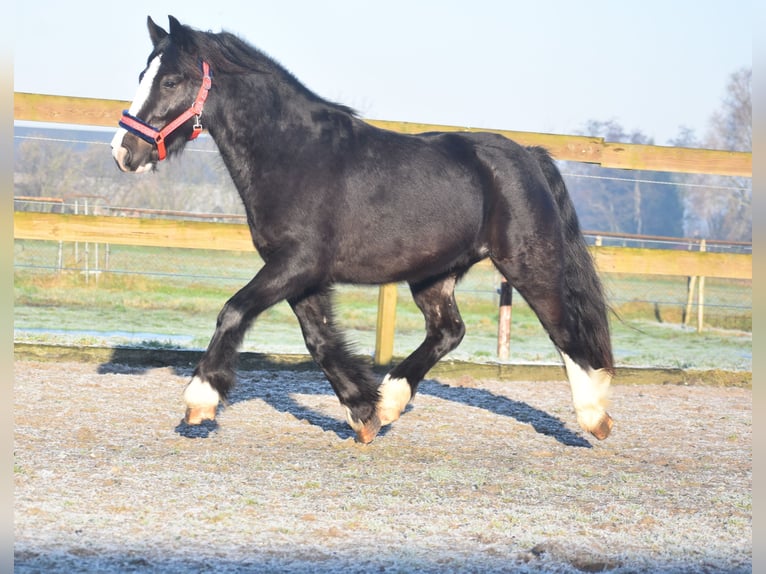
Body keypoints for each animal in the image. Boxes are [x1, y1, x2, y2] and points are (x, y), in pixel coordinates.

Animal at [111, 15, 616, 444]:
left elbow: (233, 312)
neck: (294, 154)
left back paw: (595, 418)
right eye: (141, 75)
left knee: (565, 332)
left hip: (528, 264)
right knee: (448, 331)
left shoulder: (296, 264)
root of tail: (528, 156)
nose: (123, 151)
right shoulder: (301, 274)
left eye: (170, 80)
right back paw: (391, 401)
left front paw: (200, 402)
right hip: (433, 274)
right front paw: (364, 412)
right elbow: (319, 340)